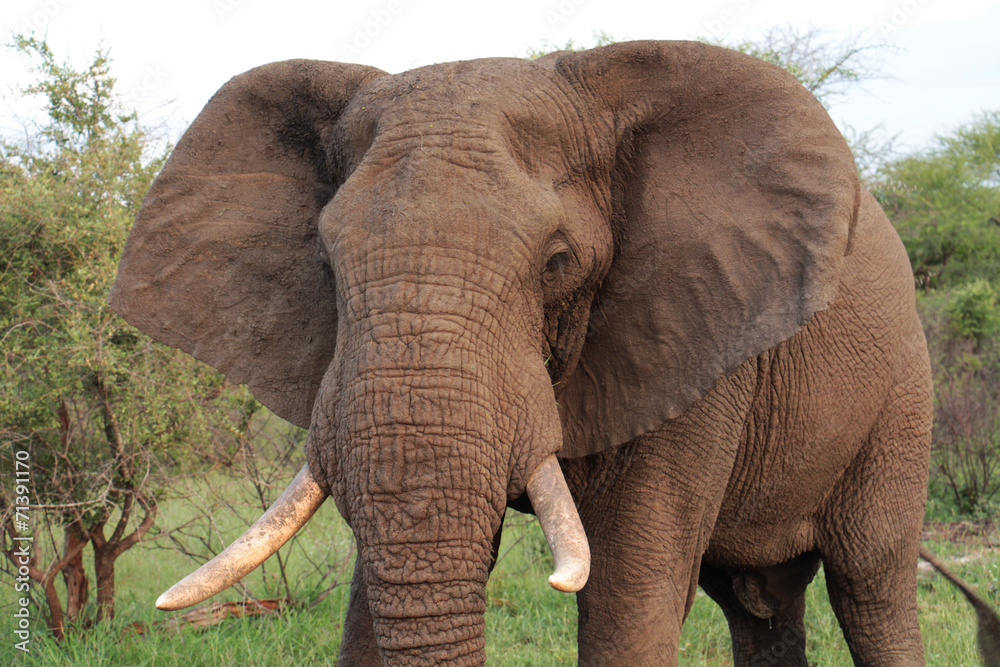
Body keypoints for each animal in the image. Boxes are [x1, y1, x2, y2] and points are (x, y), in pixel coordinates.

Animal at [110, 40, 999, 666]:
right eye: (326, 265)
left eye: (558, 262)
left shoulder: (695, 333)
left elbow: (627, 597)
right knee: (759, 603)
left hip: (902, 399)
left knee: (873, 585)